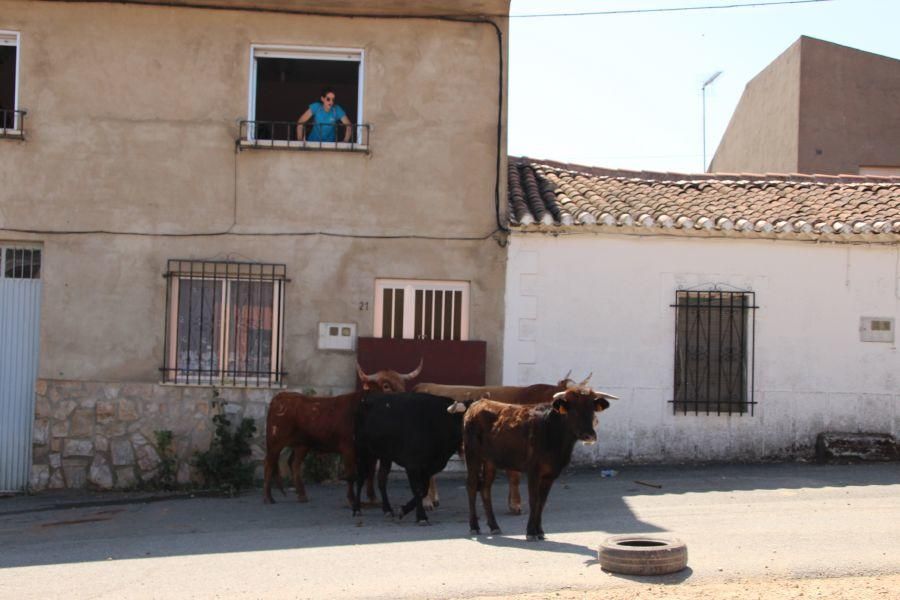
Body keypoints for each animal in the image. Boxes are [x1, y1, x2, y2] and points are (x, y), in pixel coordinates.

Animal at [260, 360, 422, 506]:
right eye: (386, 386)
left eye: (402, 384)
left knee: (294, 464)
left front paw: (373, 498)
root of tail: (280, 397)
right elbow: (351, 473)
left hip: (302, 445)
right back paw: (268, 498)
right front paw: (351, 500)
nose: (404, 399)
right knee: (269, 463)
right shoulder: (348, 448)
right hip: (275, 440)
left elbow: (370, 473)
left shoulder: (373, 453)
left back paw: (302, 495)